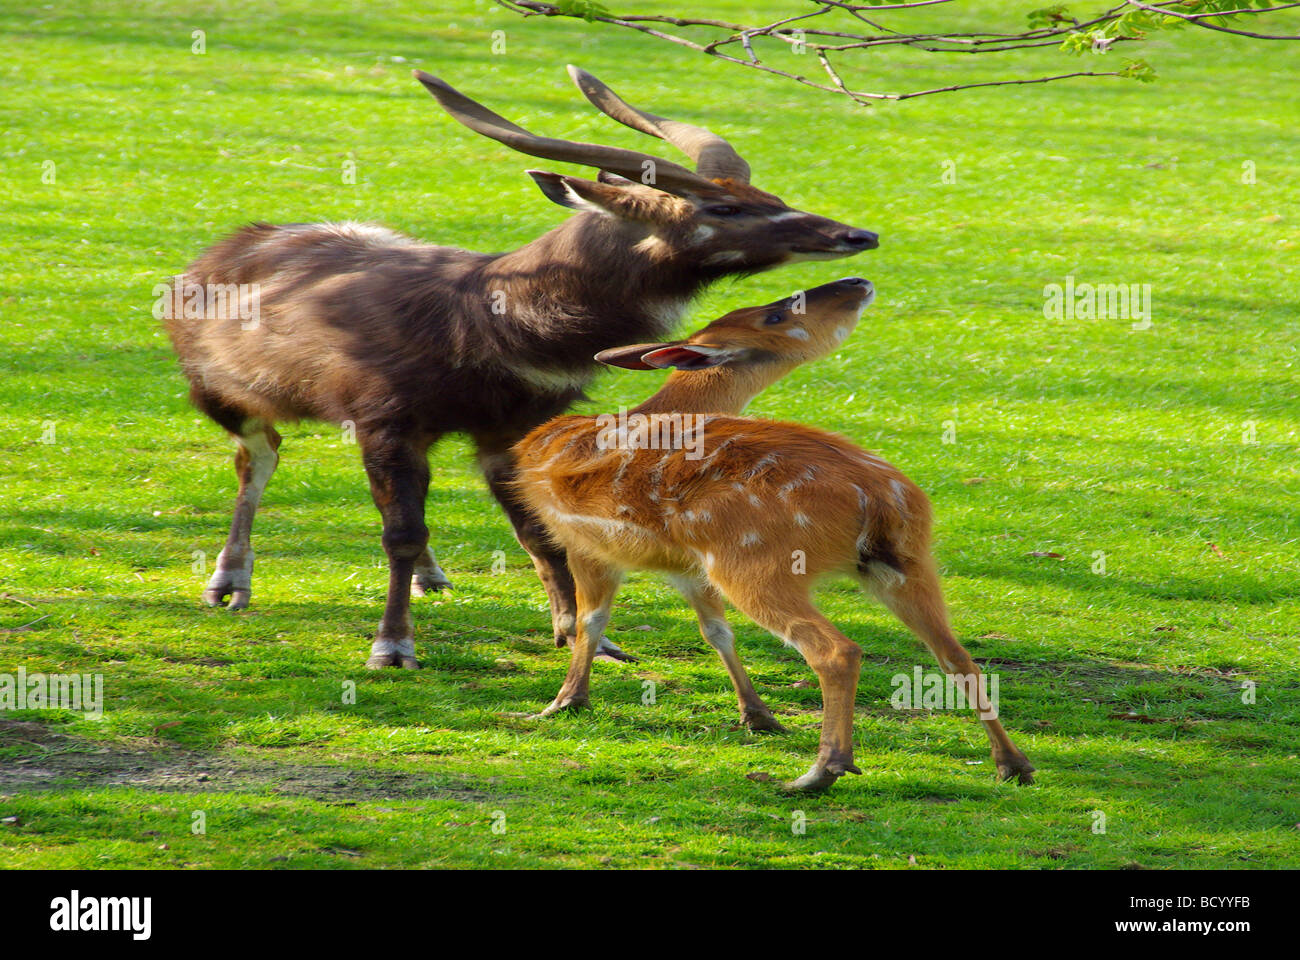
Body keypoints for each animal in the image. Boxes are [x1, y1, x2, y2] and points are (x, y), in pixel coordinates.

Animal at [159, 65, 873, 666]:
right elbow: (401, 533)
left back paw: (434, 577)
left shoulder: (509, 432)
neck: (488, 320)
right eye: (722, 208)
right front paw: (392, 647)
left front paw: (589, 639)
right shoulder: (387, 421)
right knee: (259, 457)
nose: (856, 235)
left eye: (764, 191)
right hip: (222, 396)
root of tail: (222, 251)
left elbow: (540, 532)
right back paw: (228, 584)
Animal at [512, 277, 1029, 785]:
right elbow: (716, 630)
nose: (858, 280)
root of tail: (880, 497)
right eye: (773, 313)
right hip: (908, 561)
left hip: (757, 562)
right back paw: (1014, 764)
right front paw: (757, 715)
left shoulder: (582, 540)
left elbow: (591, 620)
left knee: (838, 651)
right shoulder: (685, 564)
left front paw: (563, 702)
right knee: (956, 654)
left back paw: (822, 770)